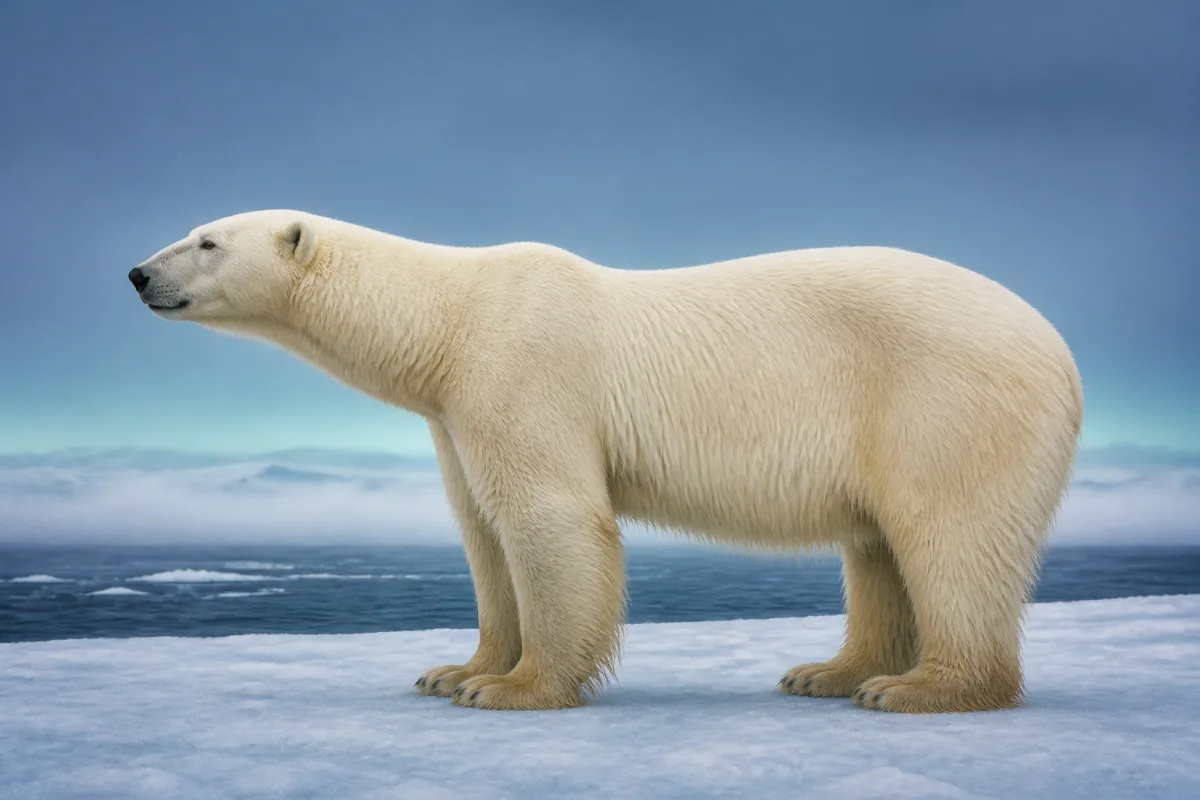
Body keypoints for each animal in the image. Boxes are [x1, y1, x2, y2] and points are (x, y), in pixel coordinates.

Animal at [128, 210, 1084, 713]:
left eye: (207, 241)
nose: (138, 273)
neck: (449, 321)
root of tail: (1059, 349)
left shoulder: (524, 369)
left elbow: (550, 518)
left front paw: (516, 689)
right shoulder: (455, 413)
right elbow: (482, 534)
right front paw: (455, 670)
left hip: (942, 399)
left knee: (949, 533)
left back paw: (917, 688)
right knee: (876, 544)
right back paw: (828, 671)